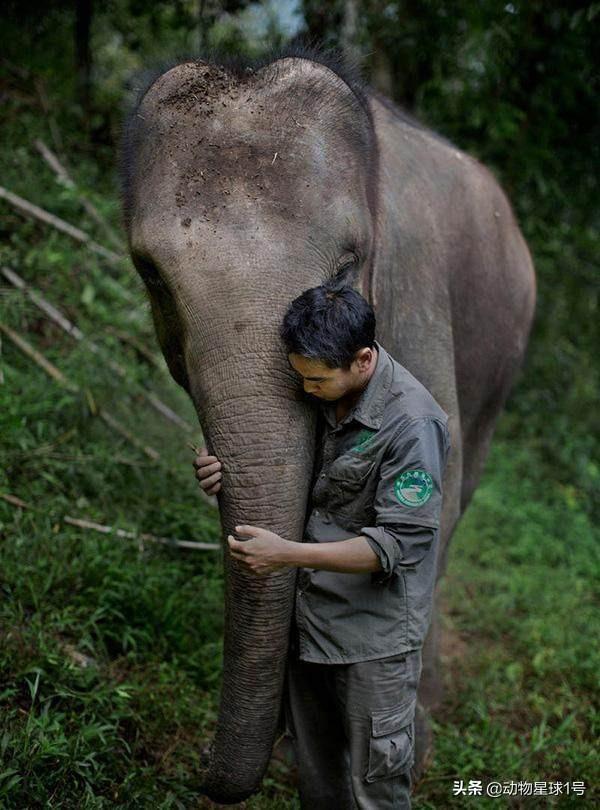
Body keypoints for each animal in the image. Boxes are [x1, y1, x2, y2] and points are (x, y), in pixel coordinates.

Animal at [119, 41, 536, 800]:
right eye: (151, 274)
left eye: (347, 265)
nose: (202, 764)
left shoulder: (412, 288)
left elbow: (425, 502)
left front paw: (407, 752)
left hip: (506, 354)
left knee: (456, 499)